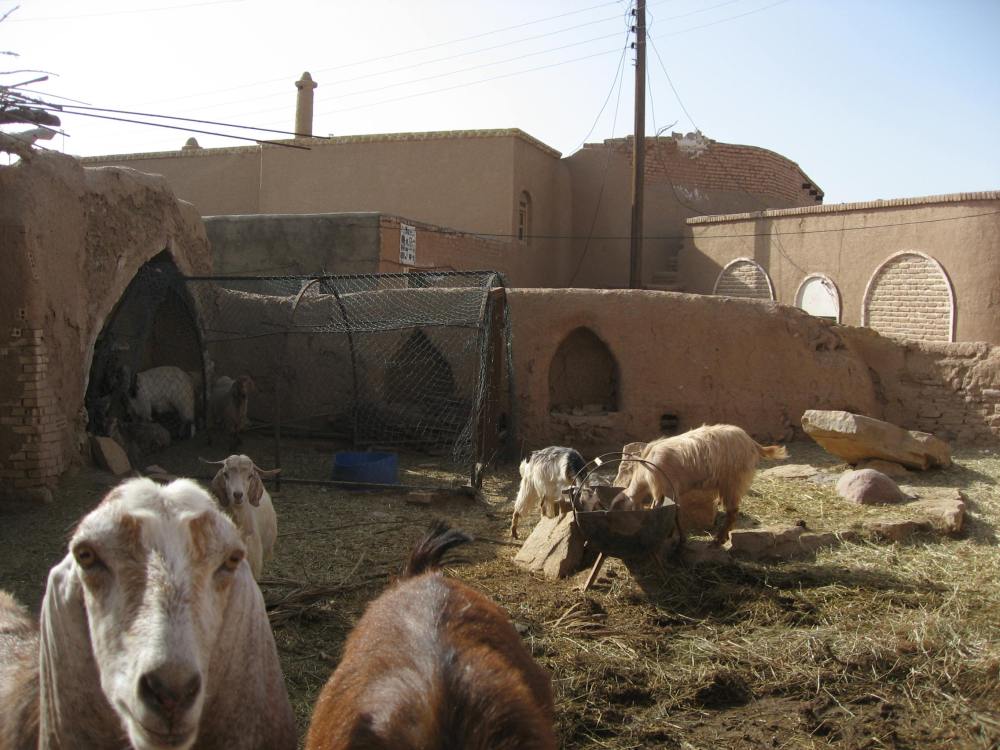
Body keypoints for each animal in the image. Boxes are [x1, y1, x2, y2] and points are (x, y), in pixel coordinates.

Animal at [613, 424, 787, 546]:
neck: (645, 472)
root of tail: (752, 443)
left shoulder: (666, 488)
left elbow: (669, 512)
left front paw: (679, 539)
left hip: (733, 481)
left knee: (732, 512)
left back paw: (718, 541)